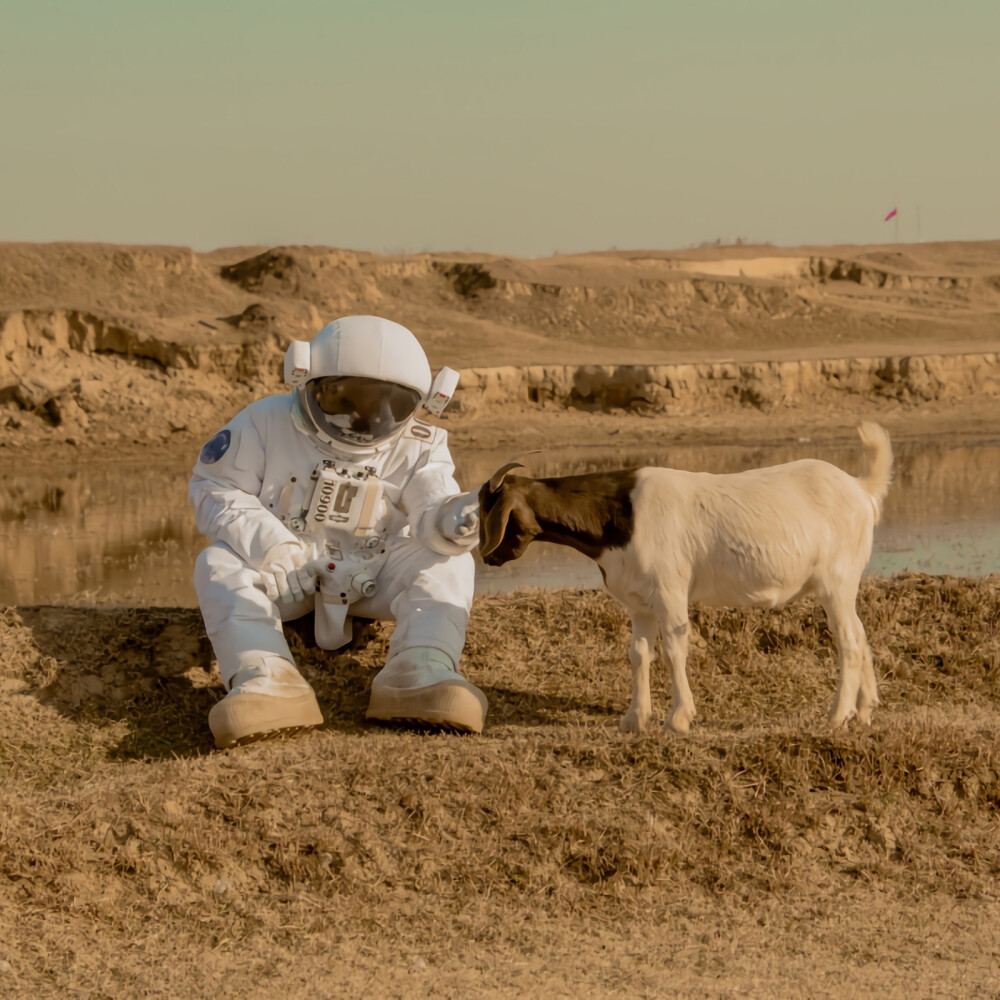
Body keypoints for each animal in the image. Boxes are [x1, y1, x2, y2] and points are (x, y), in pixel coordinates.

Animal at [480, 422, 896, 736]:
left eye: (493, 512)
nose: (488, 557)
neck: (620, 513)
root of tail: (861, 488)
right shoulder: (639, 602)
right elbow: (638, 654)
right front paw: (634, 718)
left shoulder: (670, 591)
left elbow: (674, 649)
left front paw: (678, 719)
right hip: (844, 585)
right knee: (861, 633)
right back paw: (863, 712)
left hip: (836, 581)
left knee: (849, 642)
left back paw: (836, 716)